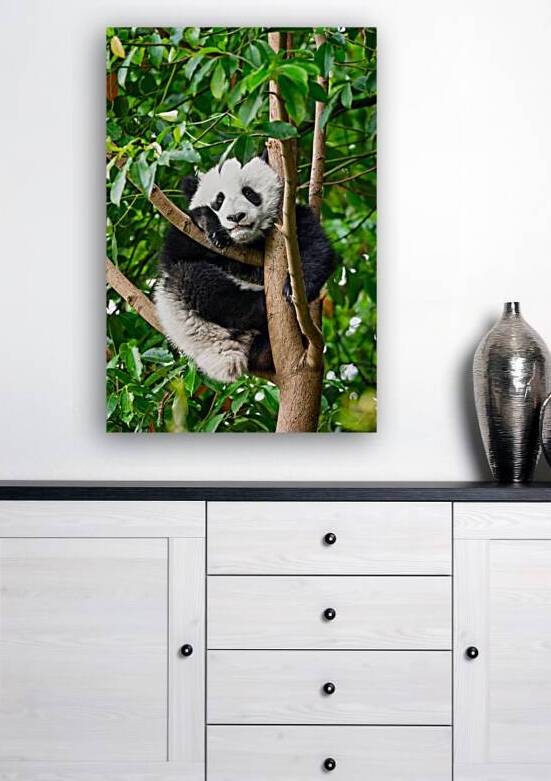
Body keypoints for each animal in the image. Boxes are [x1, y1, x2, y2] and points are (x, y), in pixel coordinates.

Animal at [155, 152, 336, 383]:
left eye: (249, 192)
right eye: (219, 200)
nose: (235, 217)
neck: (247, 241)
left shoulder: (290, 221)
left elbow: (317, 249)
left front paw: (293, 289)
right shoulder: (184, 233)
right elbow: (181, 248)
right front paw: (212, 226)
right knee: (201, 283)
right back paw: (260, 305)